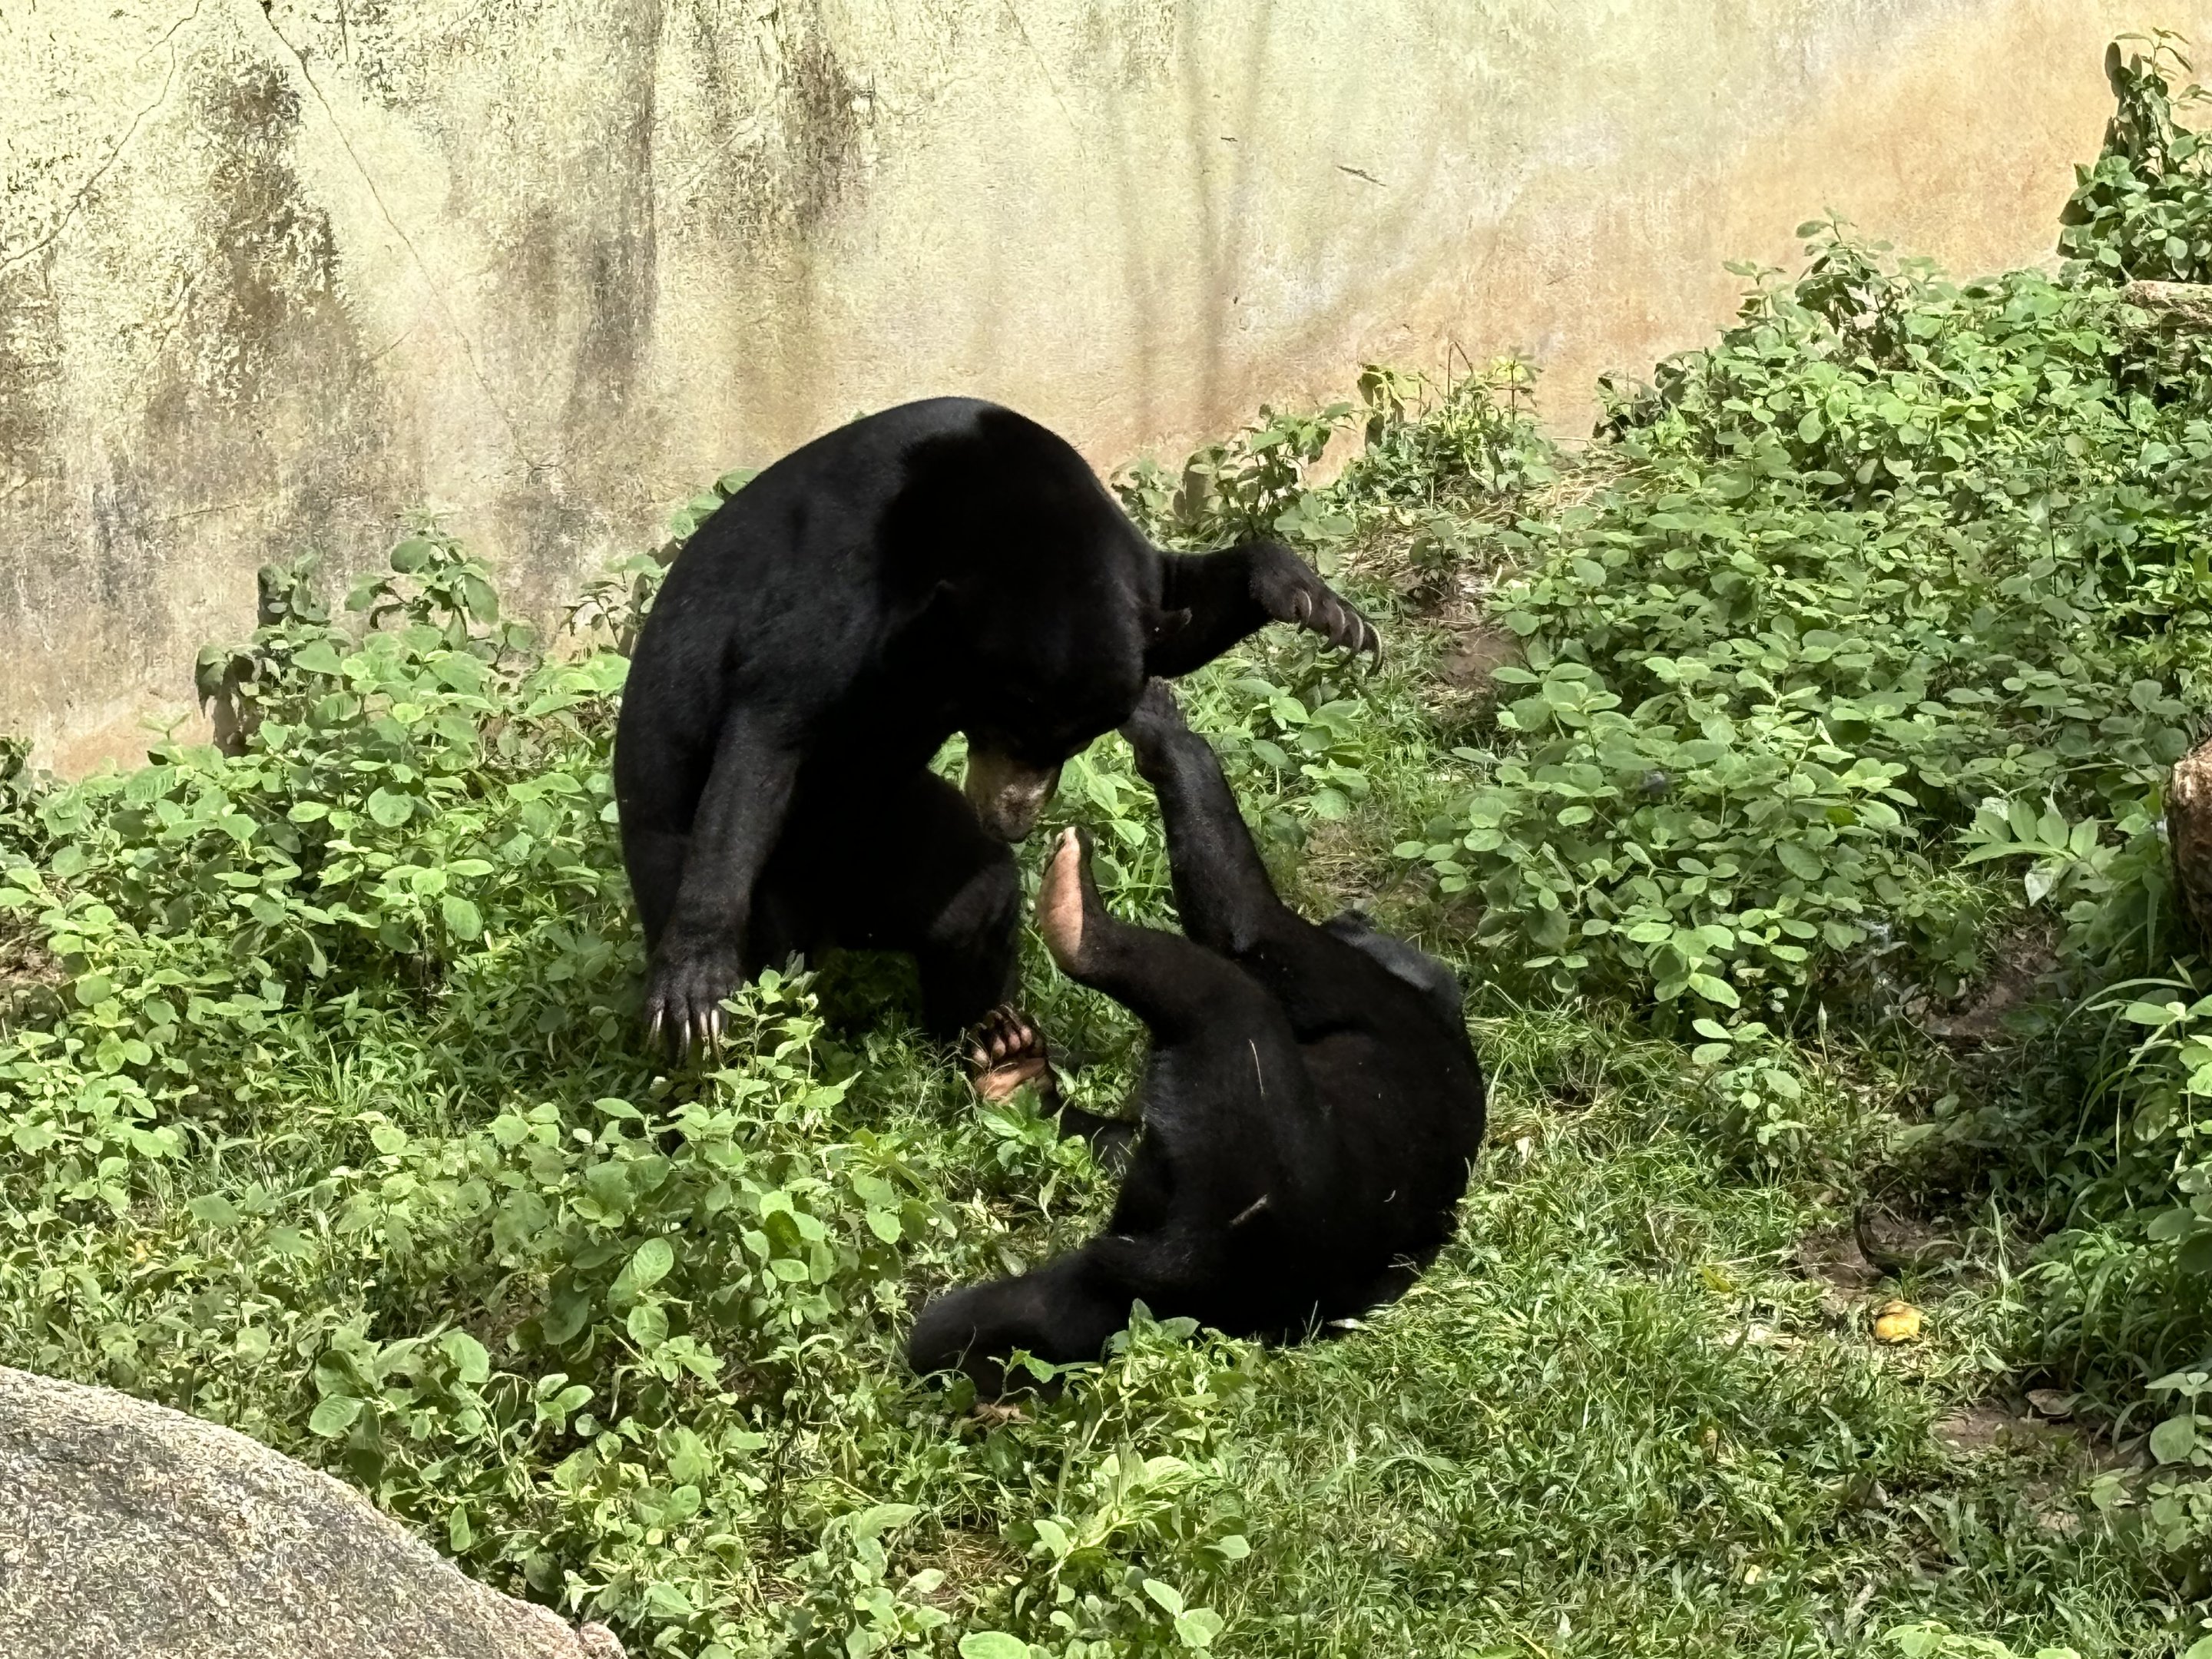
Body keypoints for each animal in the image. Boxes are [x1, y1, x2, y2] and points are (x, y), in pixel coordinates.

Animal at [613, 397, 1379, 1059]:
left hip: (891, 831)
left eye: (1077, 743)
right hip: (691, 844)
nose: (1013, 819)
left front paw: (1326, 610)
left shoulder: (1123, 578)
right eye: (1008, 730)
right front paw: (694, 988)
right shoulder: (838, 581)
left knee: (975, 905)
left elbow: (1181, 609)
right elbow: (771, 732)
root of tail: (832, 921)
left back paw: (992, 1040)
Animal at [907, 680, 1487, 1393]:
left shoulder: (1338, 982)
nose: (1352, 916)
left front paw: (1162, 723)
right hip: (1145, 1288)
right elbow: (1118, 1145)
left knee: (1211, 986)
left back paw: (1079, 916)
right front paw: (1020, 1078)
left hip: (1242, 1110)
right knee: (1032, 1318)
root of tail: (1198, 1258)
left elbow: (1246, 922)